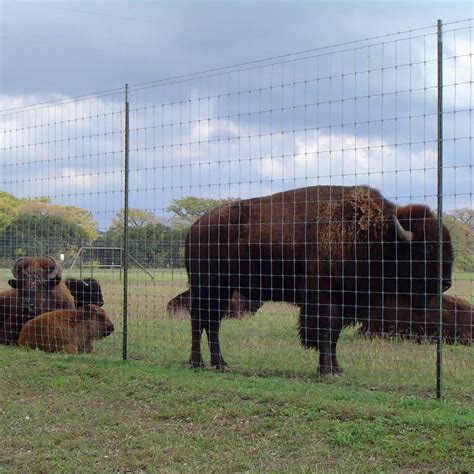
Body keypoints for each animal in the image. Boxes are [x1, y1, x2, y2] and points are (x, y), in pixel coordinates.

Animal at [184, 185, 452, 374]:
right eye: (427, 248)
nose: (446, 283)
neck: (378, 237)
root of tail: (194, 227)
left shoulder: (344, 302)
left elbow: (334, 336)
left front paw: (337, 369)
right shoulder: (322, 299)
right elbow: (325, 332)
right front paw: (326, 371)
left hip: (224, 289)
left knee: (212, 322)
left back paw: (221, 364)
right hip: (206, 286)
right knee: (199, 320)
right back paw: (197, 363)